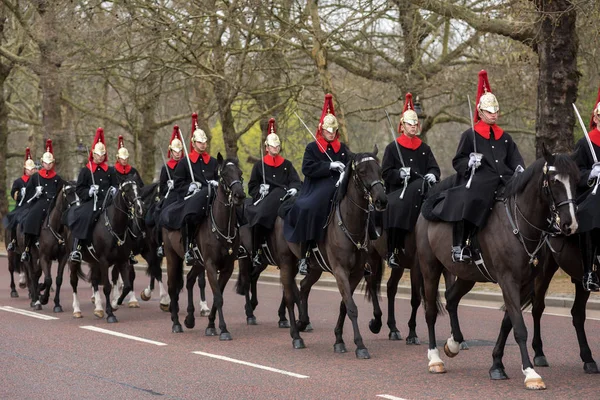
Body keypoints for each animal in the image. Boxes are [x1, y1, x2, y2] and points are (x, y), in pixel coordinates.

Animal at [163, 155, 245, 338]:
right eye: (223, 175)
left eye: (240, 173)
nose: (240, 195)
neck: (223, 227)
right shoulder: (211, 265)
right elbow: (218, 297)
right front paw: (223, 329)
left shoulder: (227, 267)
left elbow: (217, 296)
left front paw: (211, 325)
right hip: (173, 258)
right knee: (172, 287)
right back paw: (176, 323)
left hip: (198, 263)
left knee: (189, 280)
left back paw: (189, 318)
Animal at [268, 148, 386, 356]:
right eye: (362, 171)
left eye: (380, 170)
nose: (381, 200)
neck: (349, 223)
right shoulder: (340, 271)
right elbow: (352, 307)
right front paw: (360, 345)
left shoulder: (356, 273)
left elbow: (344, 305)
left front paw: (339, 340)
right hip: (286, 262)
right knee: (290, 296)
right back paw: (296, 336)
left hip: (315, 267)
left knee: (304, 287)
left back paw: (303, 322)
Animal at [414, 149, 580, 388]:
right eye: (554, 180)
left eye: (576, 180)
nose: (570, 224)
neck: (519, 224)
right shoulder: (508, 280)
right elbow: (519, 327)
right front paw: (530, 372)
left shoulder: (524, 284)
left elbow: (507, 323)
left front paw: (497, 365)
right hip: (430, 268)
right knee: (430, 311)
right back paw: (435, 359)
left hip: (468, 275)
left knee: (451, 298)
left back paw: (454, 343)